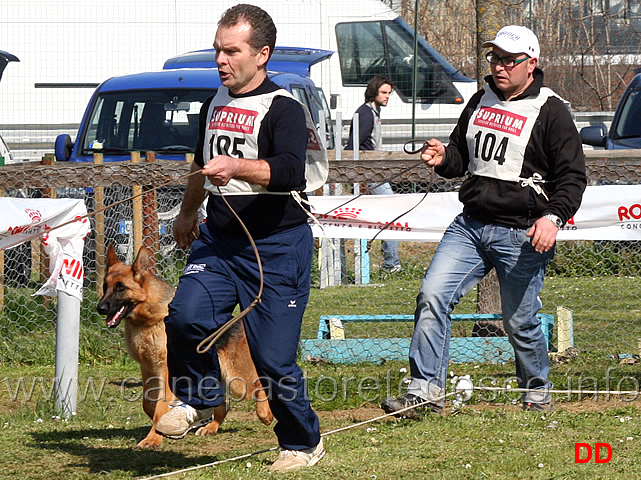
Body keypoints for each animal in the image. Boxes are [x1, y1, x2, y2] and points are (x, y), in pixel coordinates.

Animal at [97, 246, 272, 448]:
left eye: (121, 288)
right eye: (105, 287)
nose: (100, 308)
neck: (149, 319)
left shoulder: (165, 371)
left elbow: (160, 405)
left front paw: (153, 438)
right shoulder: (148, 368)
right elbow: (148, 404)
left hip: (236, 380)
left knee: (259, 385)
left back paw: (266, 415)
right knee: (223, 404)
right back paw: (210, 427)